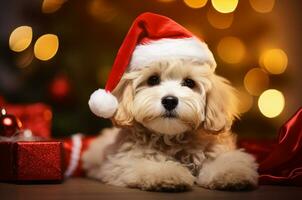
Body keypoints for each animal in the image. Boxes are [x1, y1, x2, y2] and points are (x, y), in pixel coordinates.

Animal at [82, 58, 260, 191]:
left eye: (189, 82)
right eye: (153, 79)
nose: (169, 100)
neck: (172, 137)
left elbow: (225, 161)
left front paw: (231, 173)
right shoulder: (122, 161)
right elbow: (147, 165)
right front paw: (167, 174)